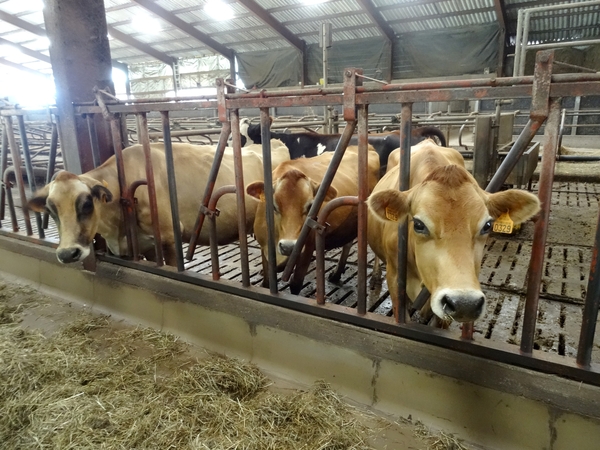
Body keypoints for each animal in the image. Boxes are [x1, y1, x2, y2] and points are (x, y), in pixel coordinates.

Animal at [245, 143, 380, 292]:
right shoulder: (264, 249)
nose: (288, 247)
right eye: (273, 206)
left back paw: (375, 278)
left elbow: (295, 284)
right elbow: (266, 282)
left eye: (310, 206)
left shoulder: (307, 248)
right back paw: (337, 273)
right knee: (348, 243)